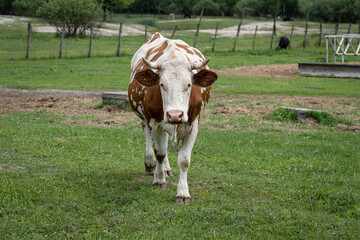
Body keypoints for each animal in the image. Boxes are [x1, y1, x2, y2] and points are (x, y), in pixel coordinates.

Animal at [129, 32, 219, 203]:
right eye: (162, 84)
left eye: (189, 84)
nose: (175, 115)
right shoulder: (155, 122)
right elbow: (160, 153)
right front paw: (159, 180)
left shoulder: (193, 124)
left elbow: (184, 160)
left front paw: (183, 193)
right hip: (145, 118)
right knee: (149, 137)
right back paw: (150, 164)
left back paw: (166, 169)